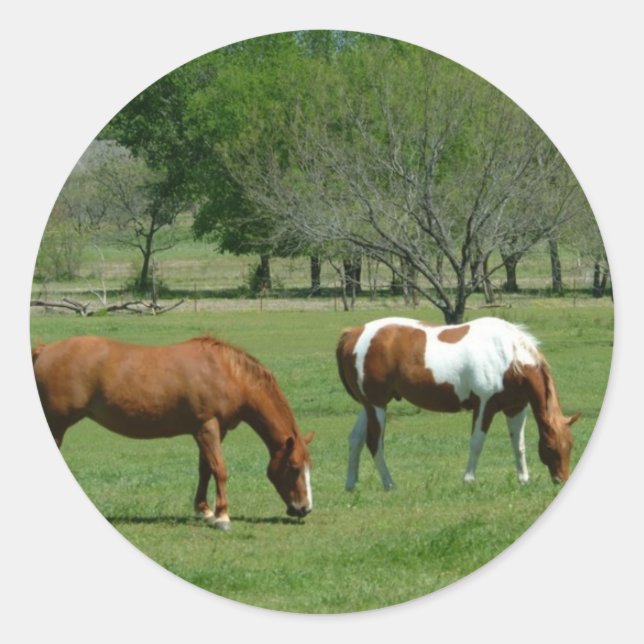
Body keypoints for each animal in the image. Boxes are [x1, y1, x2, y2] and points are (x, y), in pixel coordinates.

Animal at [32, 335, 314, 530]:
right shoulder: (208, 427)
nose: (305, 509)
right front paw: (222, 516)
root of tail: (45, 350)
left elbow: (205, 469)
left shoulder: (210, 431)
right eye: (293, 467)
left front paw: (204, 511)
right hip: (56, 425)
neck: (226, 373)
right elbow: (220, 469)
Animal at [336, 316, 580, 490]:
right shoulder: (484, 406)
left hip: (369, 406)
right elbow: (477, 443)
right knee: (374, 442)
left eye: (570, 445)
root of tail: (352, 334)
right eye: (551, 447)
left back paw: (351, 484)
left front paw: (523, 480)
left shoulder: (515, 409)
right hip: (377, 406)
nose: (562, 480)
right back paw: (389, 484)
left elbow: (518, 445)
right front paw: (469, 479)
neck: (509, 357)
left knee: (355, 439)